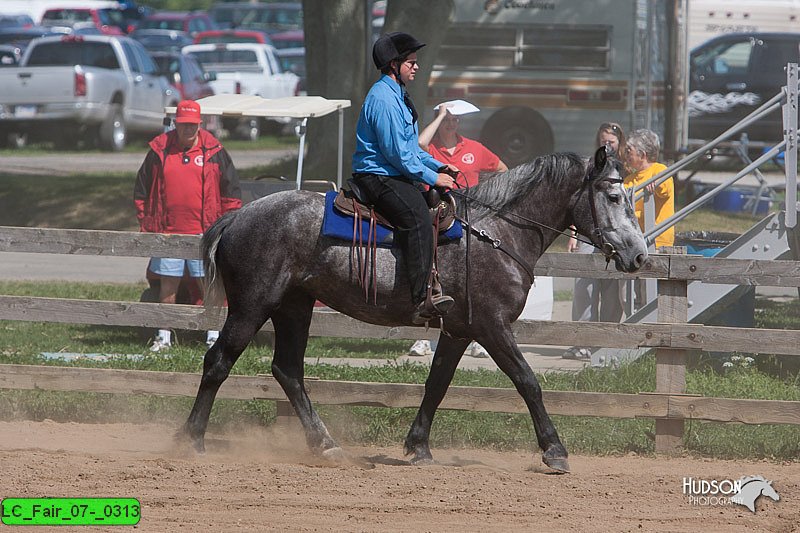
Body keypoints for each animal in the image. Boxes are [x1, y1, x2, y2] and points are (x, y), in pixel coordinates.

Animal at [180, 144, 644, 470]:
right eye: (614, 196)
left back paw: (326, 445)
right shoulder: (492, 327)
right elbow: (528, 381)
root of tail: (238, 217)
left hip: (294, 306)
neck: (495, 233)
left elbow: (437, 384)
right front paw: (554, 450)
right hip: (251, 307)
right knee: (218, 362)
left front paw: (418, 446)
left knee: (288, 371)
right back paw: (191, 439)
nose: (639, 255)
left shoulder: (459, 330)